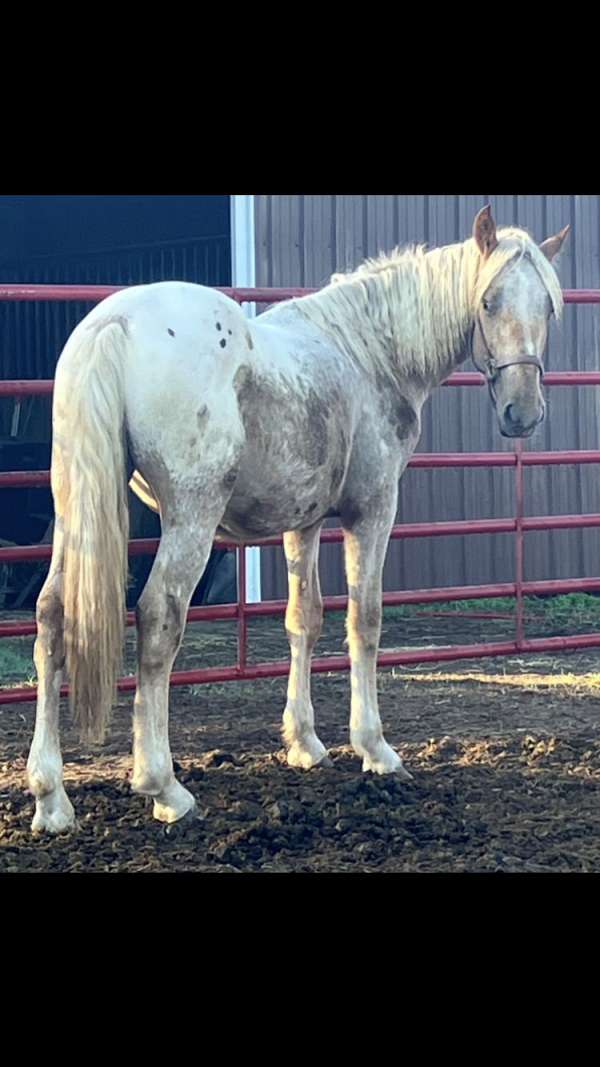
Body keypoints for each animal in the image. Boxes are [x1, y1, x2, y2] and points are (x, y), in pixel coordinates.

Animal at [26, 205, 569, 833]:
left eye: (548, 306)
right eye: (487, 302)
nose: (521, 412)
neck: (368, 353)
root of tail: (114, 324)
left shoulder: (301, 522)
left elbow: (302, 620)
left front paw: (305, 743)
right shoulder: (372, 510)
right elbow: (365, 620)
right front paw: (375, 749)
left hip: (76, 511)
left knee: (51, 618)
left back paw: (51, 798)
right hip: (190, 516)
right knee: (159, 617)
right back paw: (165, 788)